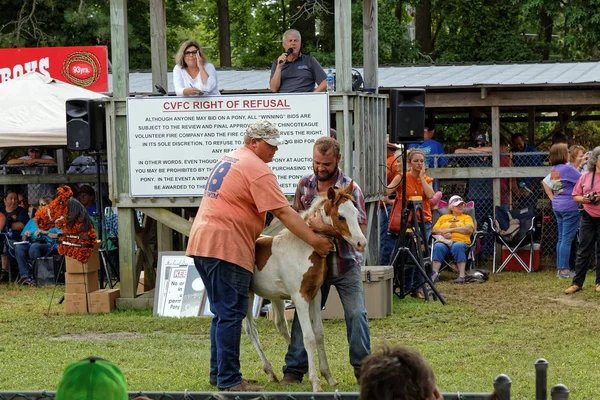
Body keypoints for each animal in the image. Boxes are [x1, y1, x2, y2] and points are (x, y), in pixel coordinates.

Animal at [243, 183, 366, 392]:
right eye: (341, 216)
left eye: (356, 213)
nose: (361, 243)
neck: (304, 247)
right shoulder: (300, 298)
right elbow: (308, 337)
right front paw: (316, 382)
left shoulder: (315, 296)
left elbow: (319, 334)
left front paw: (328, 377)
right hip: (247, 295)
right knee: (250, 330)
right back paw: (270, 372)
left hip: (275, 297)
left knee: (281, 326)